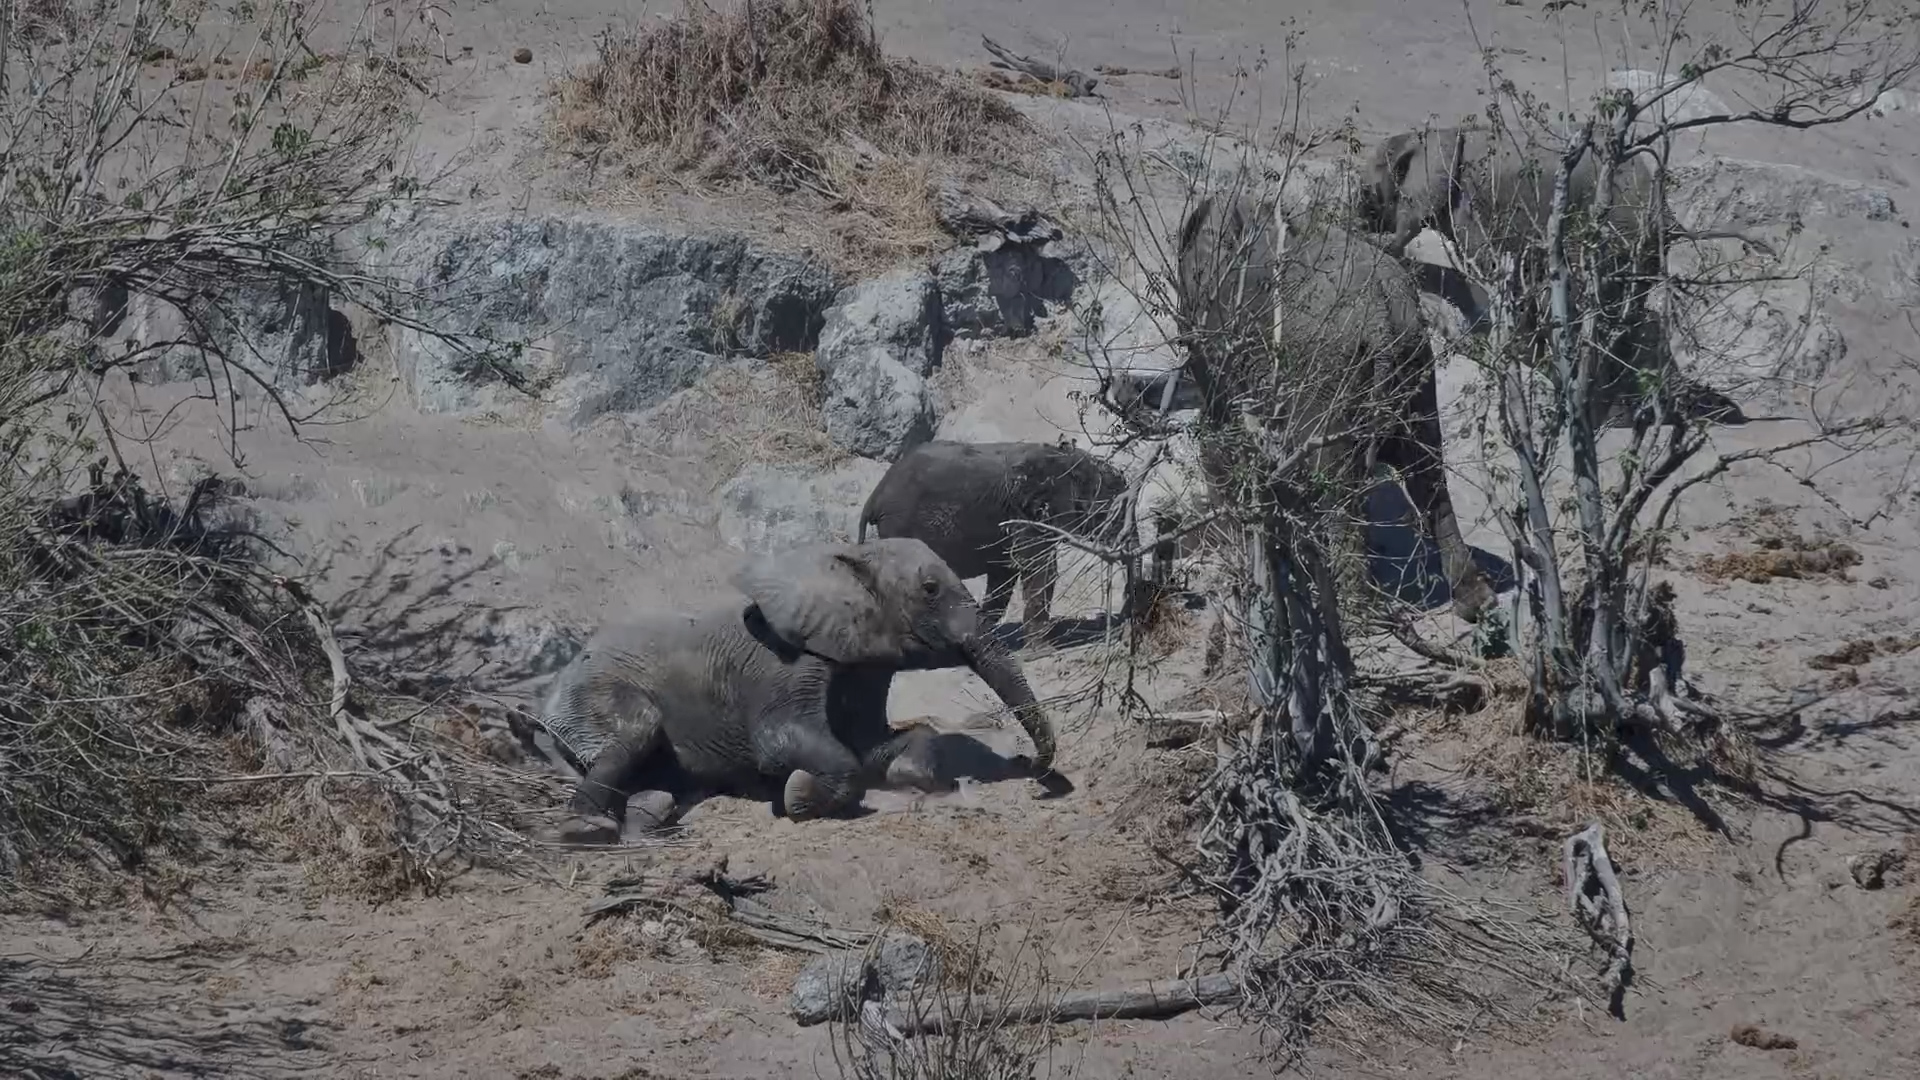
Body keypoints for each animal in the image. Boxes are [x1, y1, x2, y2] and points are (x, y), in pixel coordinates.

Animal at [535, 538, 1057, 843]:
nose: (1028, 764)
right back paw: (586, 828)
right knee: (636, 731)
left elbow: (876, 743)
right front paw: (799, 796)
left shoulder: (859, 665)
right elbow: (787, 742)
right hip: (592, 694)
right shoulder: (789, 664)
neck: (842, 558)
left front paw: (910, 775)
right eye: (930, 588)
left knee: (659, 794)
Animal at [856, 440, 1134, 638]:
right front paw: (1042, 651)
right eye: (1112, 510)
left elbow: (1005, 574)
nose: (1122, 619)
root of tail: (874, 497)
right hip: (899, 528)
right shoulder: (1025, 514)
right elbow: (1039, 569)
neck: (1063, 459)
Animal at [1174, 190, 1499, 623]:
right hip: (1414, 359)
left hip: (1328, 371)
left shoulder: (1218, 327)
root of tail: (1381, 314)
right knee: (1427, 469)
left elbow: (1221, 429)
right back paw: (1477, 602)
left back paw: (1356, 614)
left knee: (1337, 482)